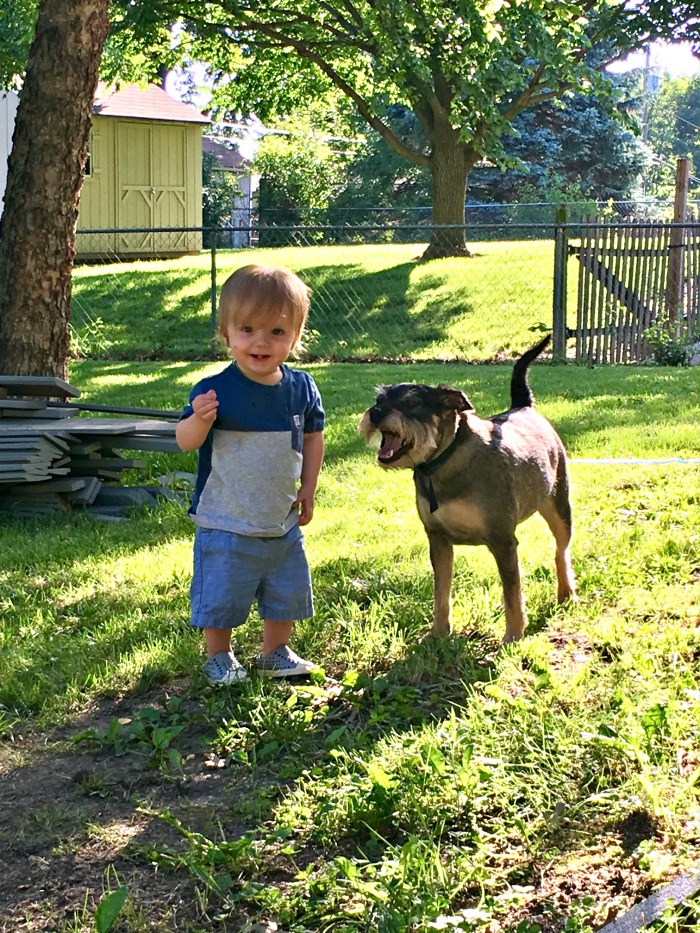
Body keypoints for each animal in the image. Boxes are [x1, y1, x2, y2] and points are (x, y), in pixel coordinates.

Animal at [358, 334, 576, 640]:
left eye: (413, 402)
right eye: (379, 399)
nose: (376, 413)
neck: (442, 461)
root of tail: (522, 406)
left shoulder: (502, 541)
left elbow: (512, 594)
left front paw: (513, 635)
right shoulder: (438, 540)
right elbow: (441, 591)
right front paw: (439, 632)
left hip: (559, 506)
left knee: (561, 551)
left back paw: (566, 592)